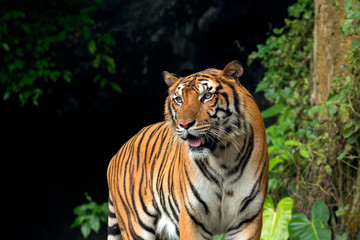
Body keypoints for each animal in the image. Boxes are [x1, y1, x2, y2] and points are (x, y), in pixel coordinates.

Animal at [106, 60, 268, 240]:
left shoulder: (247, 219)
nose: (184, 124)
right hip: (137, 227)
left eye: (207, 96)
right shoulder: (192, 217)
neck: (222, 159)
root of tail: (117, 153)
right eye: (178, 99)